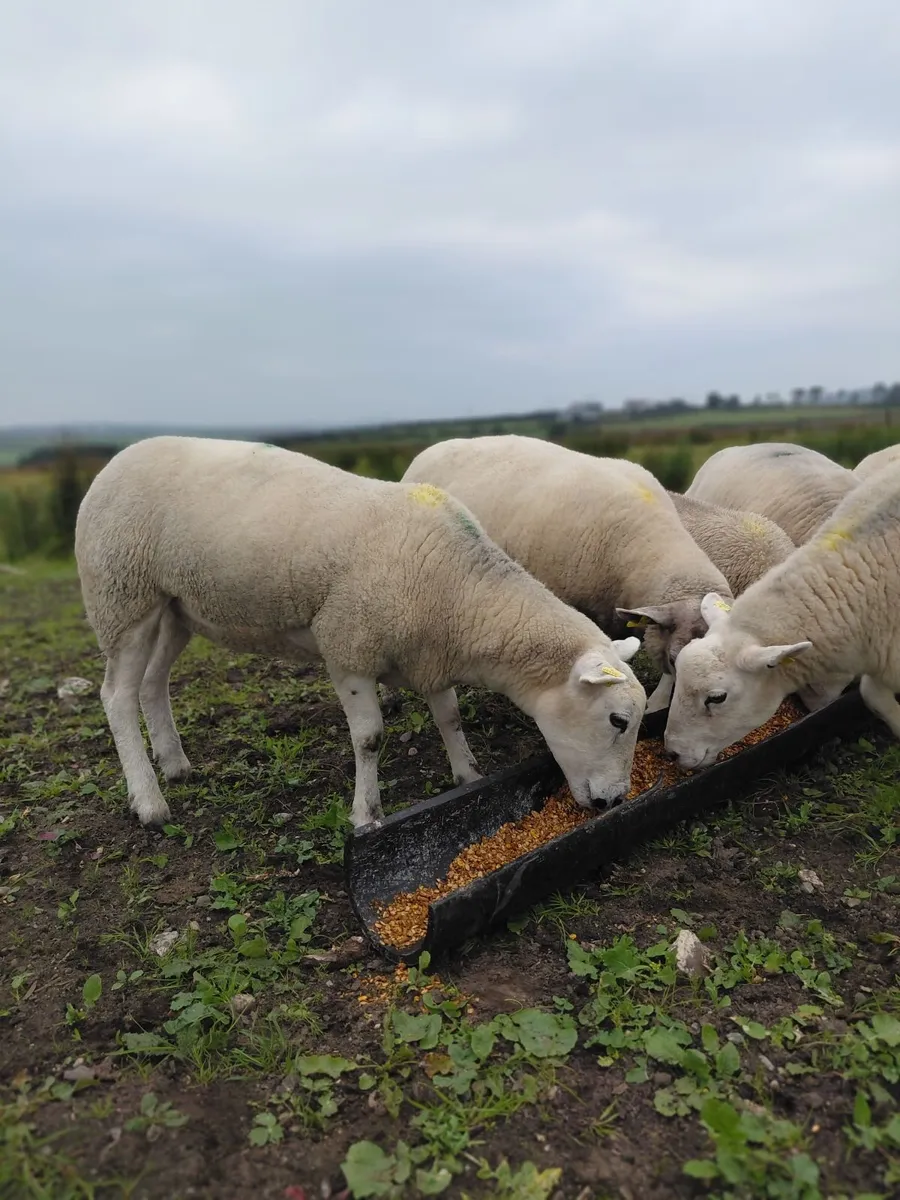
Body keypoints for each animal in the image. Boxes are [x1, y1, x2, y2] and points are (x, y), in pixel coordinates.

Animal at [74, 436, 647, 830]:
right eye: (618, 720)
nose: (615, 801)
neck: (462, 594)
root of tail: (119, 458)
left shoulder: (428, 650)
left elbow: (450, 717)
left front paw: (468, 777)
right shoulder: (349, 646)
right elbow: (370, 738)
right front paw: (366, 813)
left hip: (174, 608)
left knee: (153, 684)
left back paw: (175, 765)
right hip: (122, 596)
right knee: (118, 695)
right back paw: (150, 802)